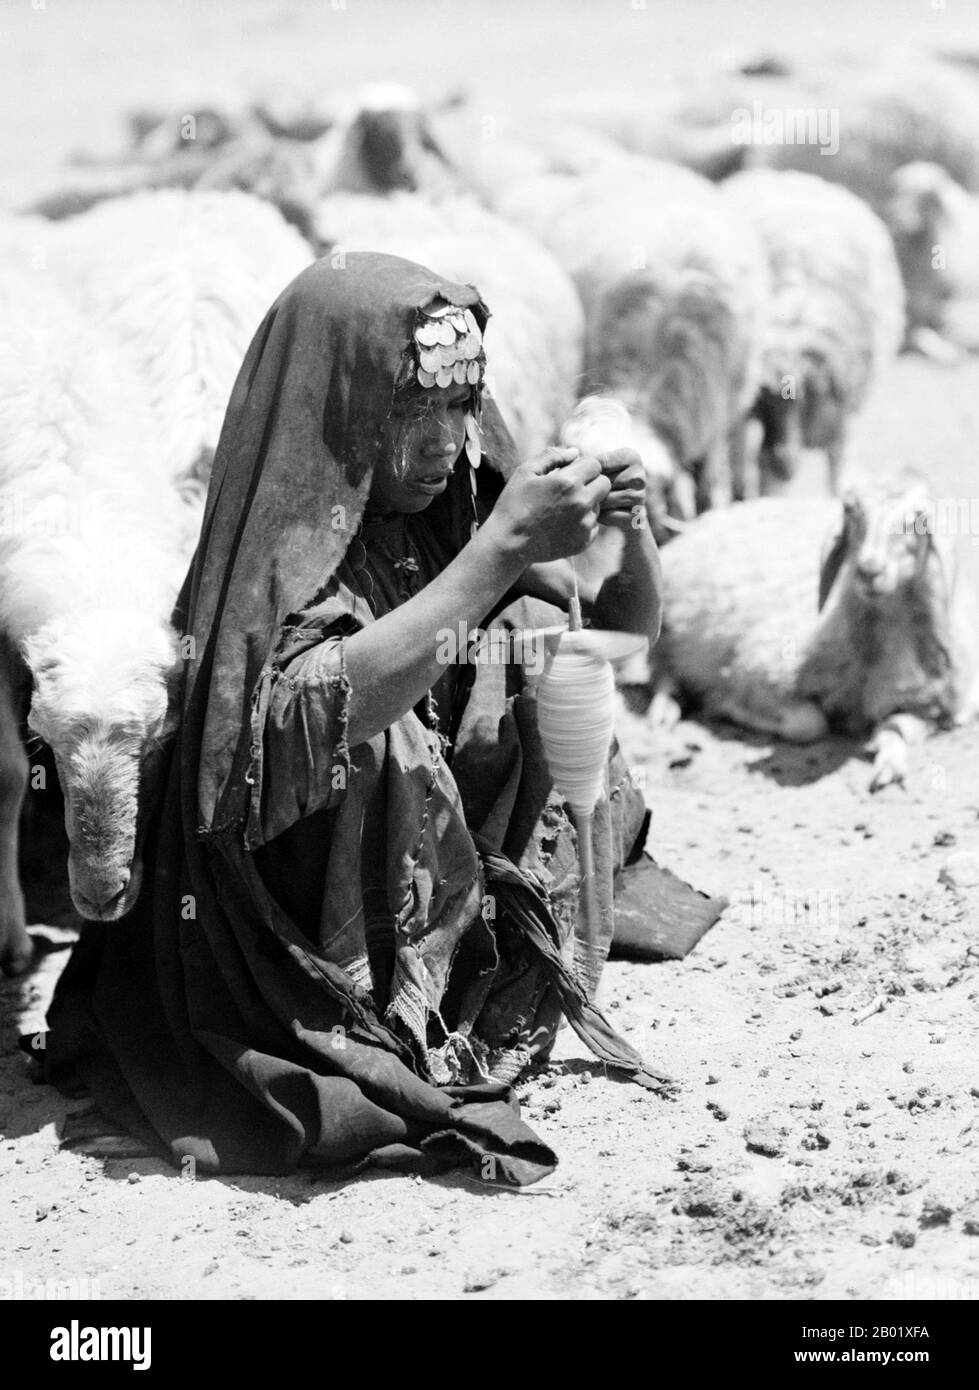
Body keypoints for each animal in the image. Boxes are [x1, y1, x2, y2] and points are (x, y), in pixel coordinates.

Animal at [650, 475, 979, 795]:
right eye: (850, 510)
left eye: (918, 519)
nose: (869, 570)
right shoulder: (753, 676)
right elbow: (809, 724)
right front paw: (726, 705)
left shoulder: (928, 708)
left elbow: (895, 731)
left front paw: (890, 764)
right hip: (664, 625)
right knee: (663, 673)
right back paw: (666, 708)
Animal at [717, 168, 901, 494]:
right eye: (763, 402)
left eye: (805, 399)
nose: (783, 460)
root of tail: (784, 175)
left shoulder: (840, 419)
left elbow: (839, 470)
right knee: (738, 449)